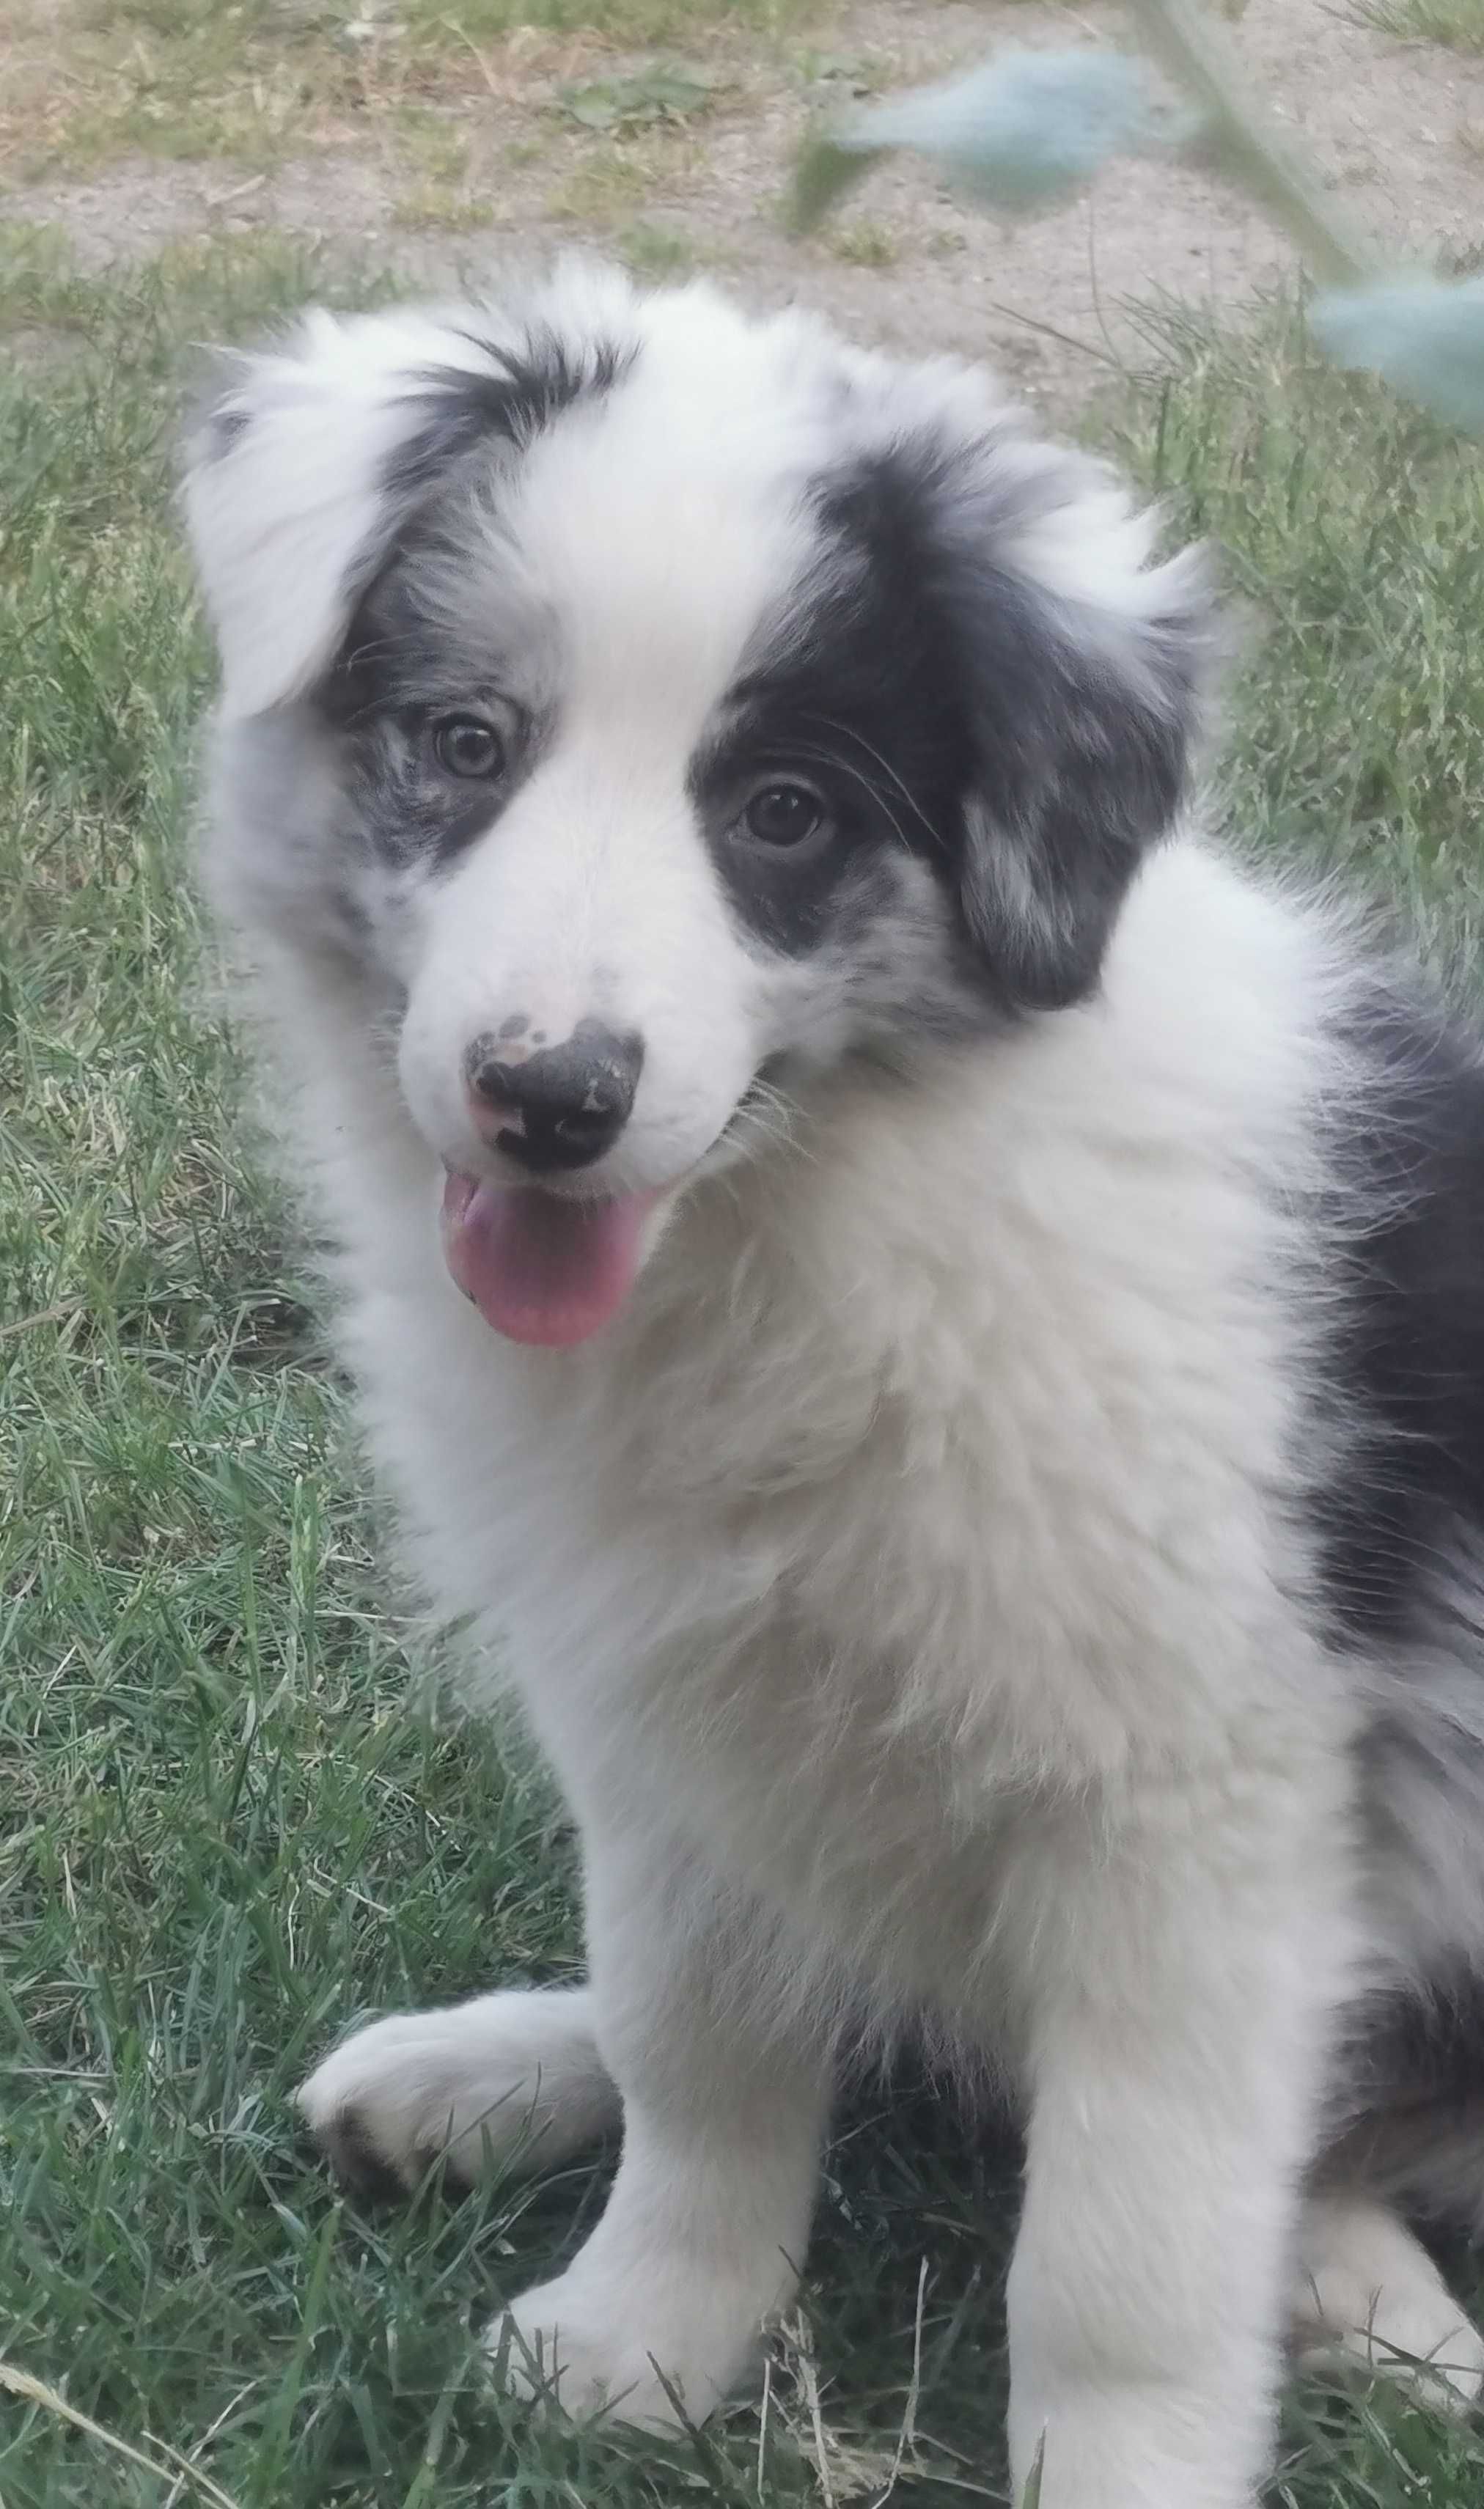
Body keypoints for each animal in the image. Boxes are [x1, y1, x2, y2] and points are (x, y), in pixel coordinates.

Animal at [186, 265, 1484, 2499]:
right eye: (465, 744)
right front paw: (642, 2336)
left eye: (783, 812)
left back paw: (1367, 2293)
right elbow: (695, 2036)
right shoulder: (671, 1706)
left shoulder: (1198, 1803)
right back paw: (475, 2072)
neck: (825, 1202)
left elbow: (1131, 2234)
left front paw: (1124, 2461)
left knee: (1318, 2145)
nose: (547, 1097)